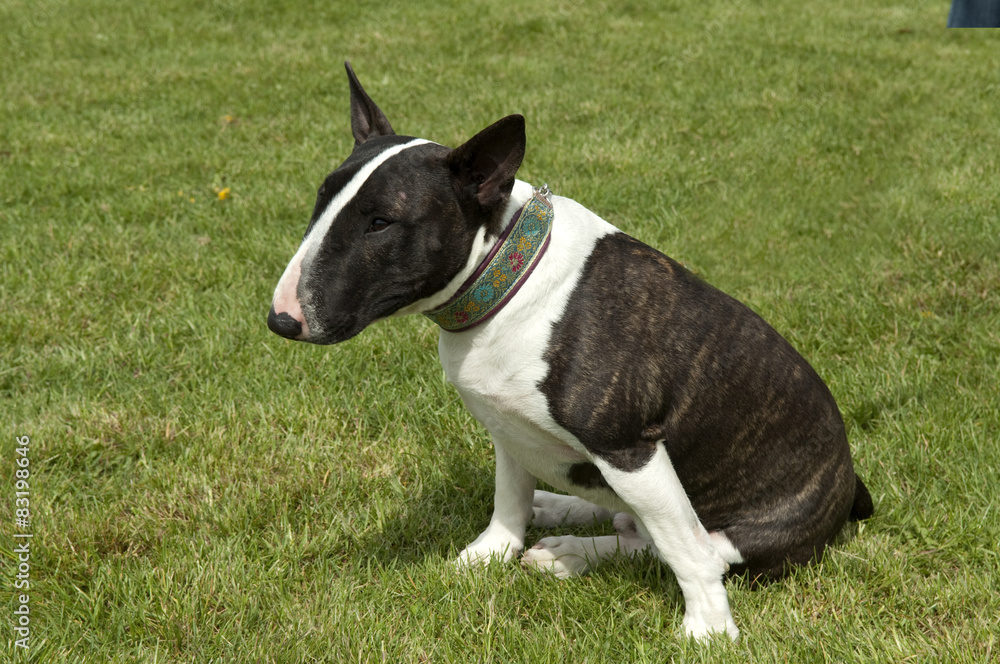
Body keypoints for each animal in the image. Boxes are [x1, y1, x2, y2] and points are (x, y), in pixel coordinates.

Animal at [270, 65, 872, 640]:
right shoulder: (506, 423)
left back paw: (575, 553)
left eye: (381, 223)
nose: (280, 319)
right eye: (321, 198)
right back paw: (561, 513)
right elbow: (509, 494)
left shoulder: (630, 446)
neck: (505, 279)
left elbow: (685, 553)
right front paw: (489, 554)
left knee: (682, 545)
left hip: (739, 527)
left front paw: (709, 630)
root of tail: (850, 490)